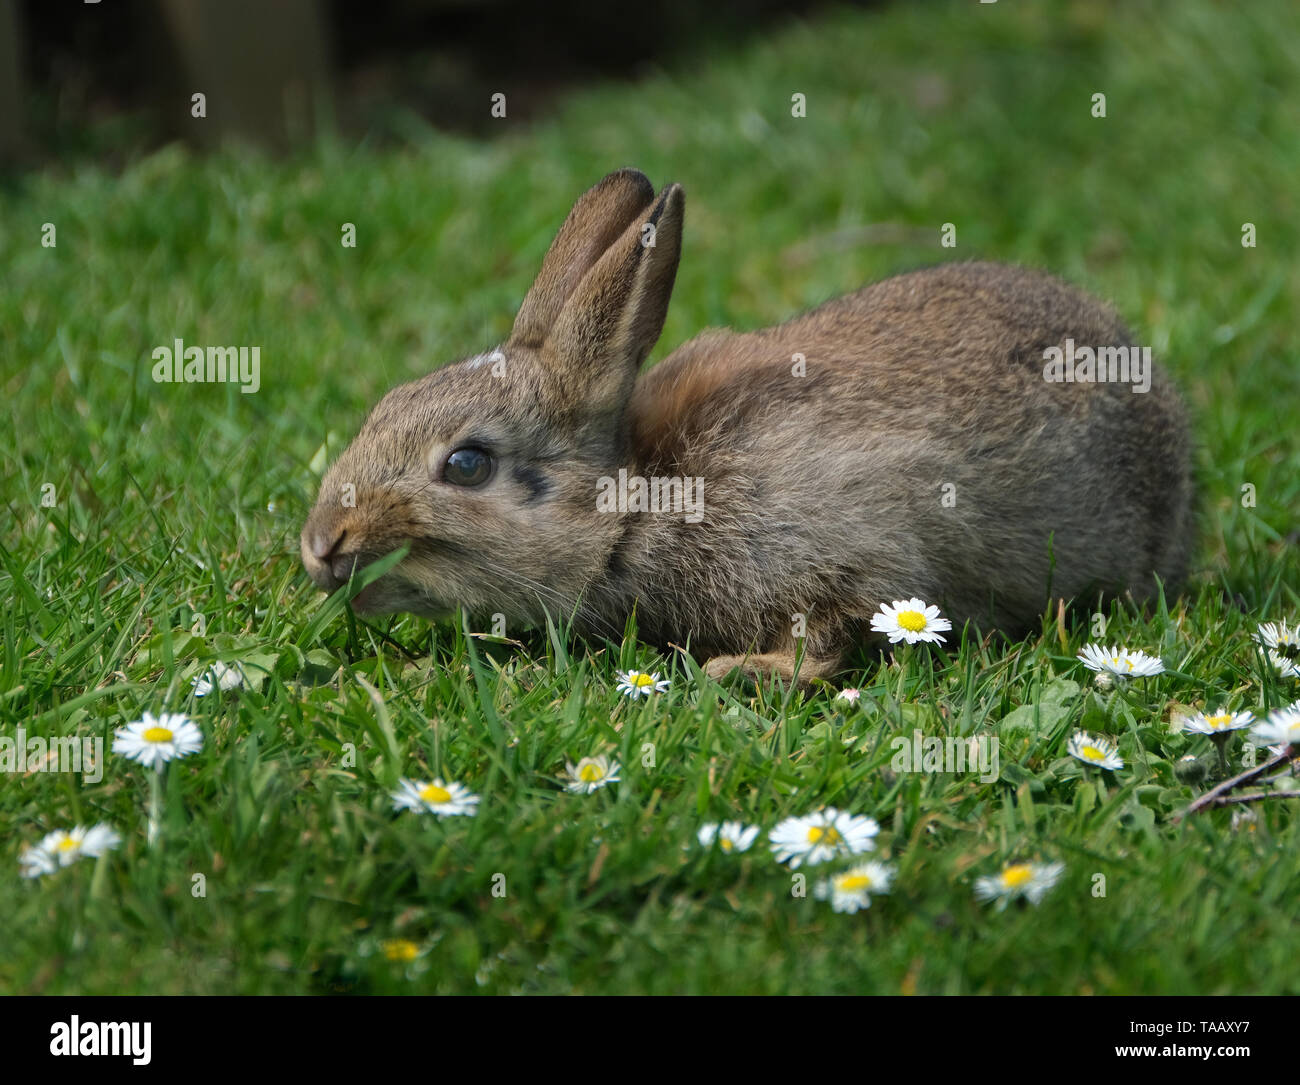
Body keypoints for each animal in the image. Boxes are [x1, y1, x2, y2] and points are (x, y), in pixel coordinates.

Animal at [299, 165, 1190, 680]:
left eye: (467, 464)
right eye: (385, 406)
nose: (321, 546)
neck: (639, 499)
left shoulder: (850, 548)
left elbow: (826, 638)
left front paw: (742, 670)